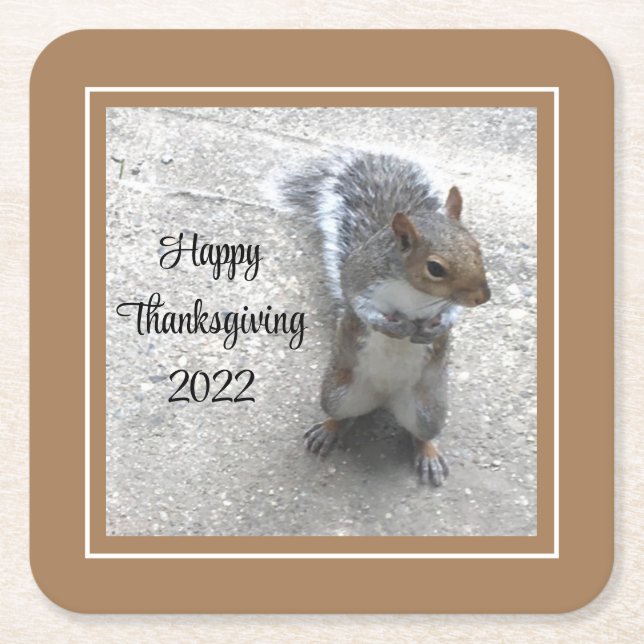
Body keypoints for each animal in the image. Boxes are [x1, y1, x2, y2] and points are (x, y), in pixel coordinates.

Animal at [270, 150, 490, 486]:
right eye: (435, 268)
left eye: (477, 247)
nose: (484, 296)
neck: (414, 291)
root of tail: (385, 398)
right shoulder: (360, 277)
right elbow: (360, 305)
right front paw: (390, 326)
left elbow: (451, 312)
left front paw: (436, 328)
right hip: (337, 393)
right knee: (342, 415)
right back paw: (328, 430)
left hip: (429, 411)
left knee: (421, 434)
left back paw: (428, 454)